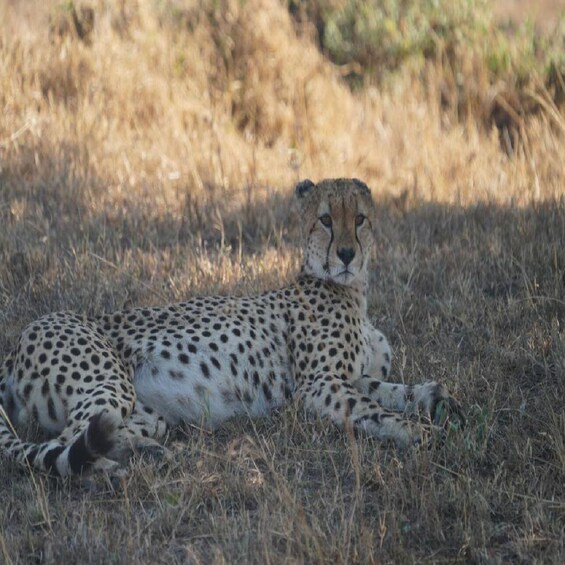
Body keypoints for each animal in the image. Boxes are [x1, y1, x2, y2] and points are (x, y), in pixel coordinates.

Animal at [0, 177, 462, 476]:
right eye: (327, 220)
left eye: (360, 219)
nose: (347, 254)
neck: (350, 289)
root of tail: (18, 341)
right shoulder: (318, 385)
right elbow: (375, 410)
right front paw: (419, 431)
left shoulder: (351, 377)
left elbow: (392, 390)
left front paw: (436, 399)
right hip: (109, 382)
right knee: (62, 446)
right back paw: (111, 471)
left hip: (144, 413)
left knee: (99, 435)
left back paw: (156, 455)